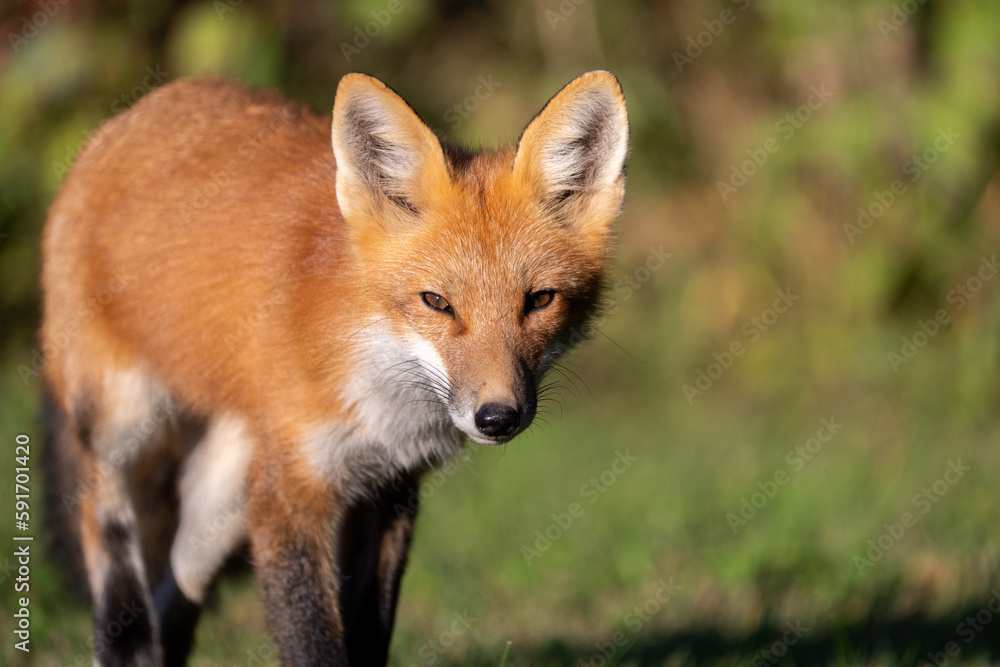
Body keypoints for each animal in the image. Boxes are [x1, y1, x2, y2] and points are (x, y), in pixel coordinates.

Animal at [40, 69, 628, 665]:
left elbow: (368, 631)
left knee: (179, 587)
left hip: (225, 498)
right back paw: (124, 639)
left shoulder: (388, 489)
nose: (497, 417)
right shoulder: (290, 493)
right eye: (437, 302)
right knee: (104, 524)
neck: (376, 384)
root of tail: (140, 109)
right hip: (123, 424)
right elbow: (311, 637)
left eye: (539, 301)